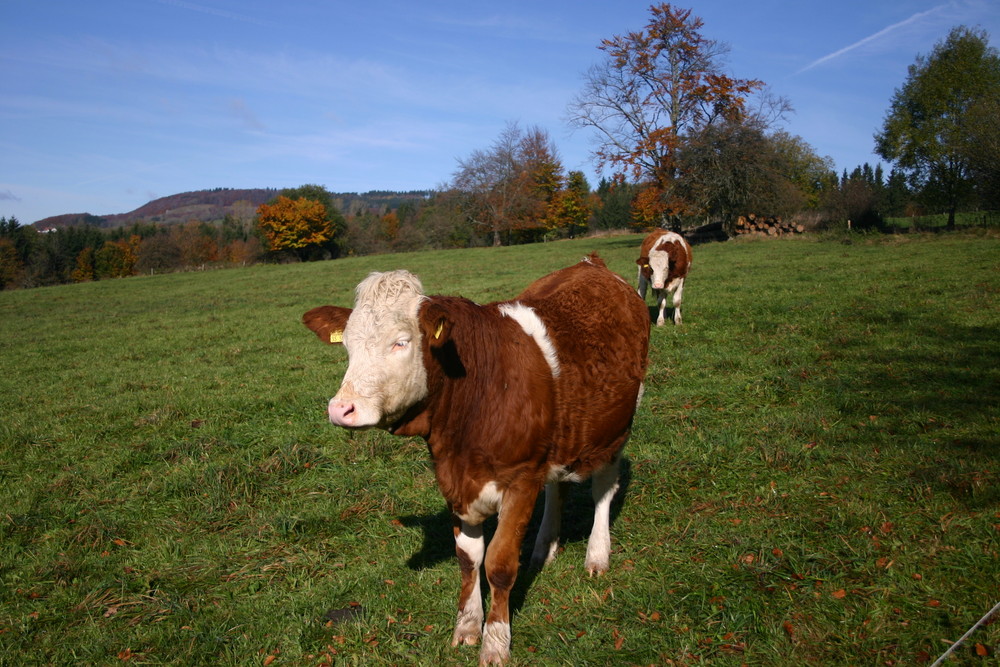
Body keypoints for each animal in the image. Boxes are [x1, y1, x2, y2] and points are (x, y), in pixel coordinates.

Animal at [300, 253, 652, 664]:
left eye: (401, 342)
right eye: (348, 346)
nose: (341, 409)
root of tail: (591, 263)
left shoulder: (520, 480)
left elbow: (499, 563)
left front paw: (496, 642)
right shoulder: (456, 481)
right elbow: (469, 559)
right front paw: (467, 626)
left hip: (617, 428)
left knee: (603, 490)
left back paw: (597, 555)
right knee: (557, 489)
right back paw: (543, 549)